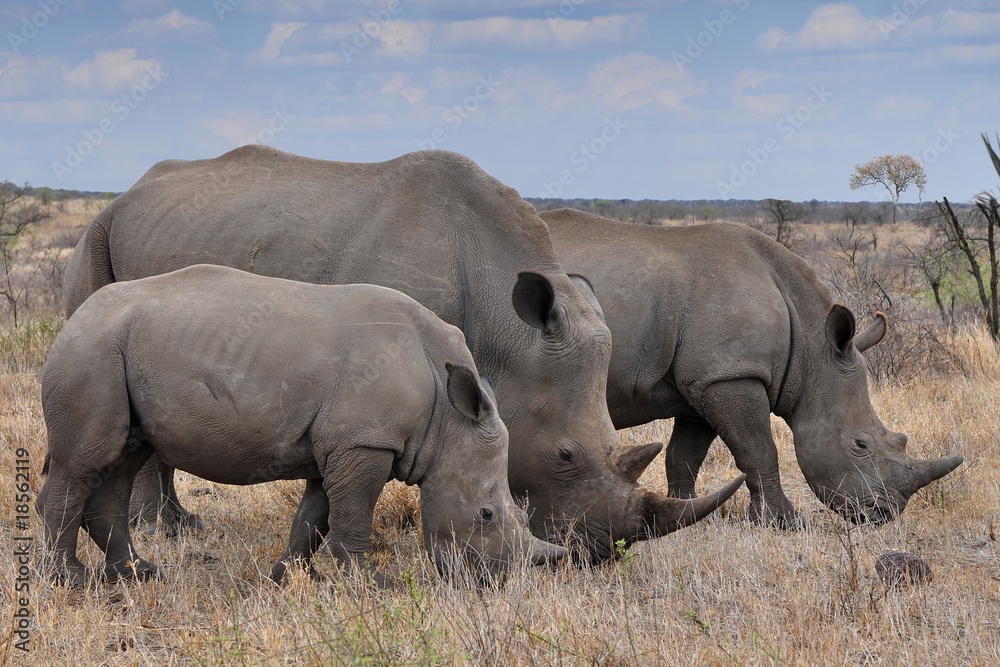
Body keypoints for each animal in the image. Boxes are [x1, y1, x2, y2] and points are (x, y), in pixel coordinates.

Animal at [37, 265, 572, 587]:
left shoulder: (339, 444)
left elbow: (313, 518)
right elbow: (352, 516)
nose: (497, 580)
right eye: (486, 514)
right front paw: (371, 584)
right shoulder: (365, 442)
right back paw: (72, 581)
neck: (447, 419)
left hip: (114, 349)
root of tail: (75, 315)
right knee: (85, 461)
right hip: (93, 349)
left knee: (123, 459)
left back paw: (138, 574)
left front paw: (285, 578)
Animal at [63, 147, 744, 563]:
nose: (600, 552)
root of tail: (127, 192)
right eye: (565, 455)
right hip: (95, 240)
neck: (504, 329)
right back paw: (164, 531)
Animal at [541, 208, 963, 528]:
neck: (812, 350)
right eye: (860, 444)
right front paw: (785, 523)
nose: (885, 513)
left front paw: (689, 515)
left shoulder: (707, 379)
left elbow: (684, 456)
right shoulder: (731, 376)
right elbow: (760, 450)